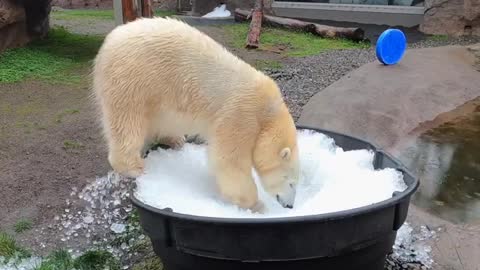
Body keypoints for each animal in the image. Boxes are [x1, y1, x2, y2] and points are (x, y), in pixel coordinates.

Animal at [92, 16, 298, 210]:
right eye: (290, 182)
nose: (290, 205)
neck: (268, 112)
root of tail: (109, 41)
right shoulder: (240, 115)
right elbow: (229, 160)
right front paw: (254, 204)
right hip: (132, 80)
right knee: (127, 122)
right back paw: (133, 167)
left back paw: (175, 139)